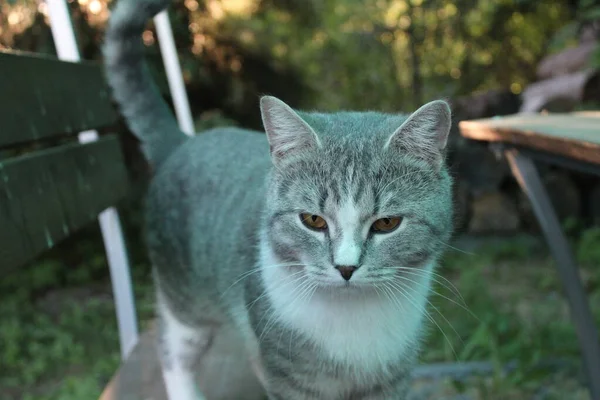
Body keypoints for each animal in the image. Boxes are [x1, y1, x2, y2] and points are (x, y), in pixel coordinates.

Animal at [105, 0, 454, 400]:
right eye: (313, 220)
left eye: (386, 223)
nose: (346, 268)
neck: (352, 317)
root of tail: (182, 142)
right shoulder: (286, 372)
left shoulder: (391, 378)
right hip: (185, 301)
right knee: (172, 348)